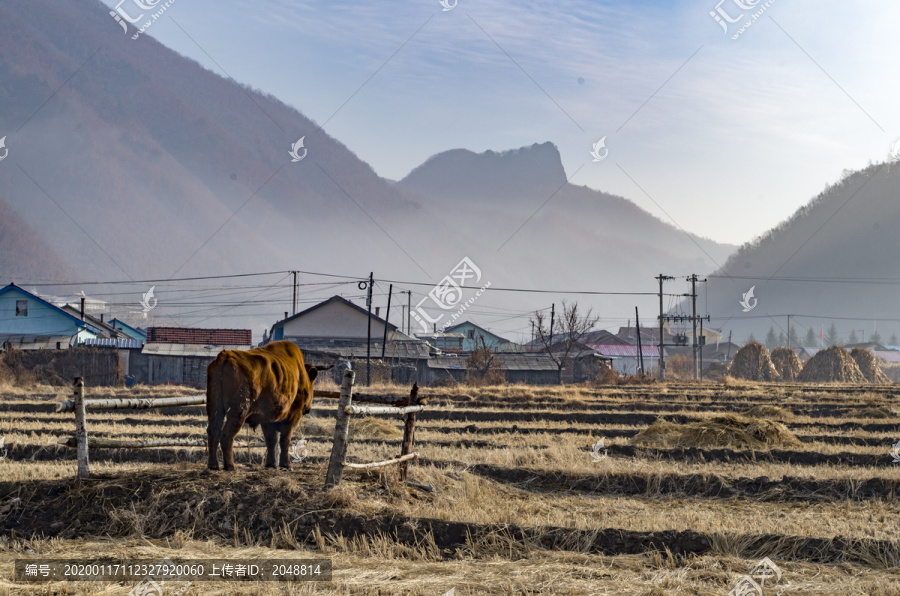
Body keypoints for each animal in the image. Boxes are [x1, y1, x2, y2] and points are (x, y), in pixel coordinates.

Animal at [206, 340, 318, 470]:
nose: (308, 408)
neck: (301, 374)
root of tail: (225, 355)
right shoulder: (293, 415)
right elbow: (284, 439)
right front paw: (286, 464)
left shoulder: (267, 418)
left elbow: (271, 440)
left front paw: (271, 463)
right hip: (238, 412)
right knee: (227, 435)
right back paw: (230, 466)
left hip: (215, 408)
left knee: (213, 431)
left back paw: (213, 465)